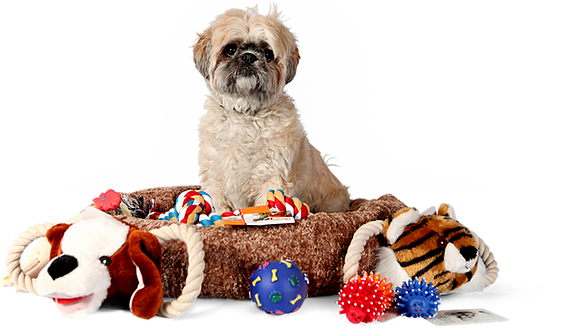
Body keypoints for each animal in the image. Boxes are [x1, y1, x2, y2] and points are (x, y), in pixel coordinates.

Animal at [195, 4, 348, 213]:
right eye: (230, 49)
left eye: (268, 54)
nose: (248, 56)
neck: (245, 115)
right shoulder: (216, 181)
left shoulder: (271, 177)